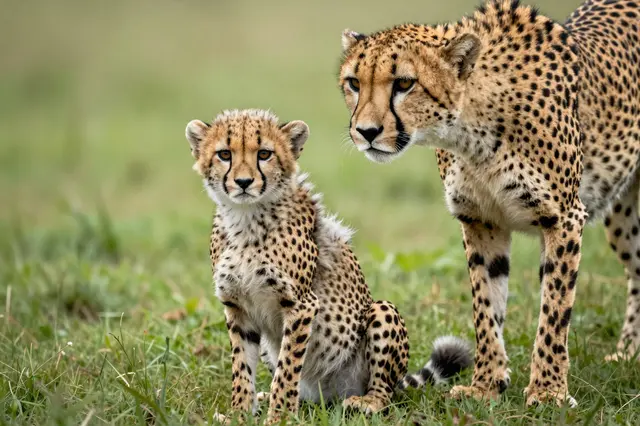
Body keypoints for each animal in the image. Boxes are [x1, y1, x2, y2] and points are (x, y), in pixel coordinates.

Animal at [184, 109, 471, 423]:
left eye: (264, 154)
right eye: (224, 154)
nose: (244, 182)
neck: (245, 218)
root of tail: (328, 397)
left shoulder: (301, 304)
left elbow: (287, 367)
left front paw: (279, 416)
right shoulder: (238, 307)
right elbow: (241, 367)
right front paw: (240, 413)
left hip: (381, 312)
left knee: (384, 391)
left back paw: (367, 401)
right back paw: (269, 397)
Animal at [337, 0, 640, 408]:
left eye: (404, 83)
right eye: (354, 83)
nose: (365, 132)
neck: (472, 129)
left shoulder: (563, 218)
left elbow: (554, 311)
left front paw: (547, 391)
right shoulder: (481, 221)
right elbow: (486, 306)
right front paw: (486, 385)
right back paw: (629, 353)